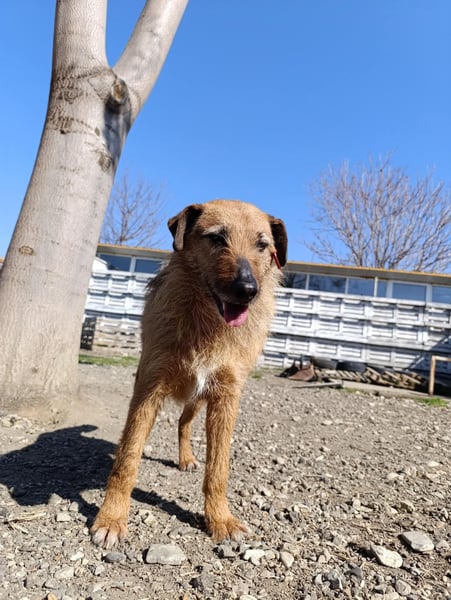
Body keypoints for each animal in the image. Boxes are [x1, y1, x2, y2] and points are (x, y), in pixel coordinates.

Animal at [91, 199, 287, 548]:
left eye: (262, 245)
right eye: (217, 238)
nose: (247, 290)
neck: (207, 324)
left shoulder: (225, 398)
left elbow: (219, 469)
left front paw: (220, 519)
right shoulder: (148, 388)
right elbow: (127, 459)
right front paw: (111, 518)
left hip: (198, 399)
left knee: (184, 423)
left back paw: (186, 458)